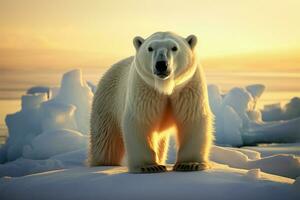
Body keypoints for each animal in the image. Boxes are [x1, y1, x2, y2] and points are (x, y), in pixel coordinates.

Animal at [88, 32, 213, 173]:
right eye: (150, 48)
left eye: (174, 47)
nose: (161, 64)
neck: (164, 87)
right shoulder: (144, 89)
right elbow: (140, 121)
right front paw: (150, 166)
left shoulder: (188, 87)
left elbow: (192, 119)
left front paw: (190, 164)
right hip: (107, 102)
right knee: (105, 142)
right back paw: (102, 163)